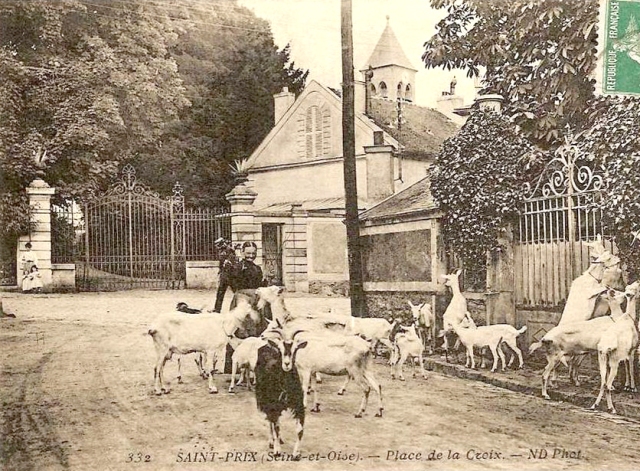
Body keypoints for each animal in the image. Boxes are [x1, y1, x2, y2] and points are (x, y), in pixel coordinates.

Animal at [592, 282, 636, 414]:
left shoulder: (625, 354)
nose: (625, 295)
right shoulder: (631, 351)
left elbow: (626, 364)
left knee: (603, 383)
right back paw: (612, 408)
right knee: (606, 385)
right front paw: (632, 388)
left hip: (602, 360)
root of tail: (604, 347)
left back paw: (594, 405)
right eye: (618, 292)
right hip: (613, 362)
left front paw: (627, 386)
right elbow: (630, 365)